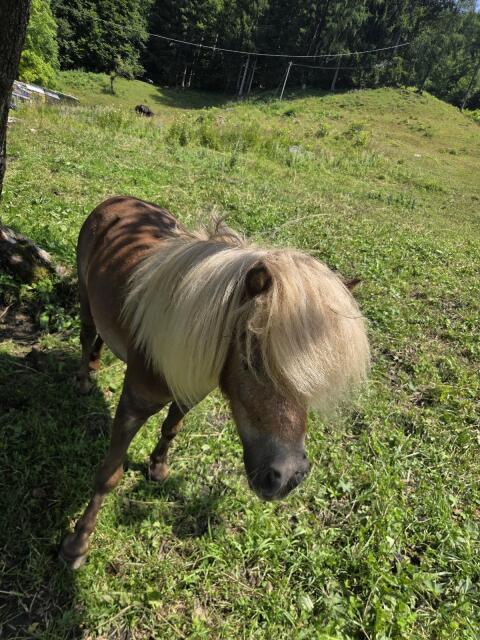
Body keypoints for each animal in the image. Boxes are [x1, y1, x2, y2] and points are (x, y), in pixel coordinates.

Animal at [60, 196, 370, 568]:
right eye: (251, 360)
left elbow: (171, 429)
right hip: (85, 296)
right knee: (87, 333)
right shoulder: (134, 404)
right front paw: (77, 544)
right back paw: (83, 379)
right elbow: (109, 475)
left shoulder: (187, 393)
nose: (288, 477)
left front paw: (158, 468)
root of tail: (117, 200)